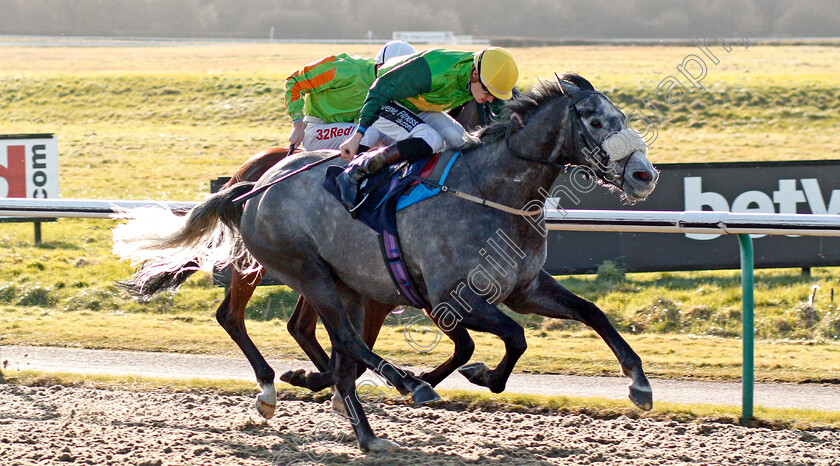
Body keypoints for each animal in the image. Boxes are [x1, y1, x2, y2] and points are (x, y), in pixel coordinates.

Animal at [115, 74, 660, 454]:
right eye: (595, 121)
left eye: (621, 116)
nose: (644, 175)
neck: (492, 193)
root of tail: (254, 186)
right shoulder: (449, 297)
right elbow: (511, 337)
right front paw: (477, 376)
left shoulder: (524, 287)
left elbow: (591, 313)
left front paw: (639, 383)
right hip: (306, 272)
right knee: (333, 337)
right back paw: (391, 393)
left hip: (344, 284)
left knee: (335, 346)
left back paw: (356, 412)